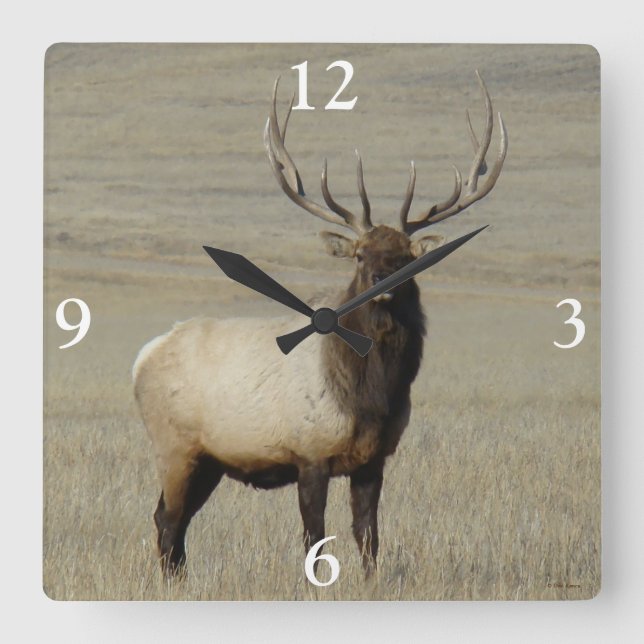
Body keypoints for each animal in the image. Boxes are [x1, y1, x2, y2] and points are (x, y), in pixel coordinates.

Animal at [132, 71, 507, 579]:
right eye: (360, 255)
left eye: (405, 257)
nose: (381, 280)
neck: (371, 397)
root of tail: (142, 358)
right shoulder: (309, 453)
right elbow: (315, 542)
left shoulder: (374, 460)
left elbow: (368, 538)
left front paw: (370, 583)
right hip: (173, 446)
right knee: (167, 520)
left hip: (208, 460)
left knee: (175, 521)